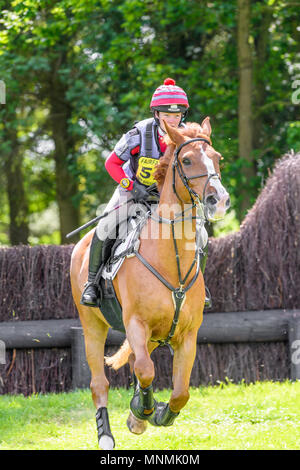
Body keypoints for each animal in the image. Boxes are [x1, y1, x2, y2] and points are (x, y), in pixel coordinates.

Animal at [70, 116, 230, 448]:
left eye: (217, 158)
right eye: (186, 160)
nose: (219, 200)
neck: (170, 260)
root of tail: (80, 244)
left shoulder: (187, 335)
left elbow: (180, 392)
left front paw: (155, 414)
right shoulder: (136, 323)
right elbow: (145, 371)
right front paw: (142, 410)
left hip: (156, 336)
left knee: (135, 362)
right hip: (92, 326)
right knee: (99, 382)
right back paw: (106, 435)